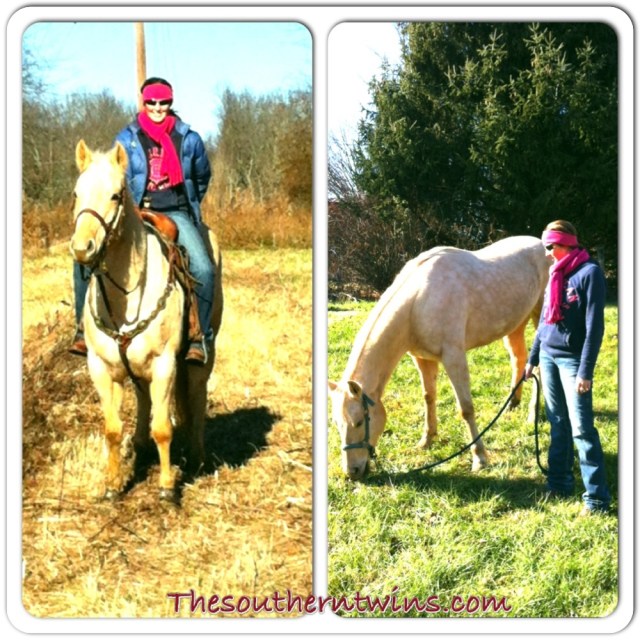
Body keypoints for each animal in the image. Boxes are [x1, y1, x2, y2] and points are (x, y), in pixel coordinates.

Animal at [70, 140, 223, 502]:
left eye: (116, 195)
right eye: (76, 193)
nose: (82, 248)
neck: (125, 297)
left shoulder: (165, 363)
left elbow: (163, 428)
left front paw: (167, 487)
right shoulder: (100, 367)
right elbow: (112, 429)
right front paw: (113, 485)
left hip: (202, 356)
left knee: (196, 397)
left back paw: (197, 455)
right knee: (142, 398)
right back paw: (139, 445)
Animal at [328, 235, 549, 480]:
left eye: (359, 422)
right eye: (337, 424)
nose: (353, 472)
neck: (417, 303)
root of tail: (541, 243)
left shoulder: (454, 356)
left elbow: (466, 408)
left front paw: (480, 458)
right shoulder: (423, 359)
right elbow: (429, 397)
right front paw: (427, 440)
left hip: (539, 317)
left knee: (538, 367)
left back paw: (533, 414)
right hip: (516, 323)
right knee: (518, 359)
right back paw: (512, 403)